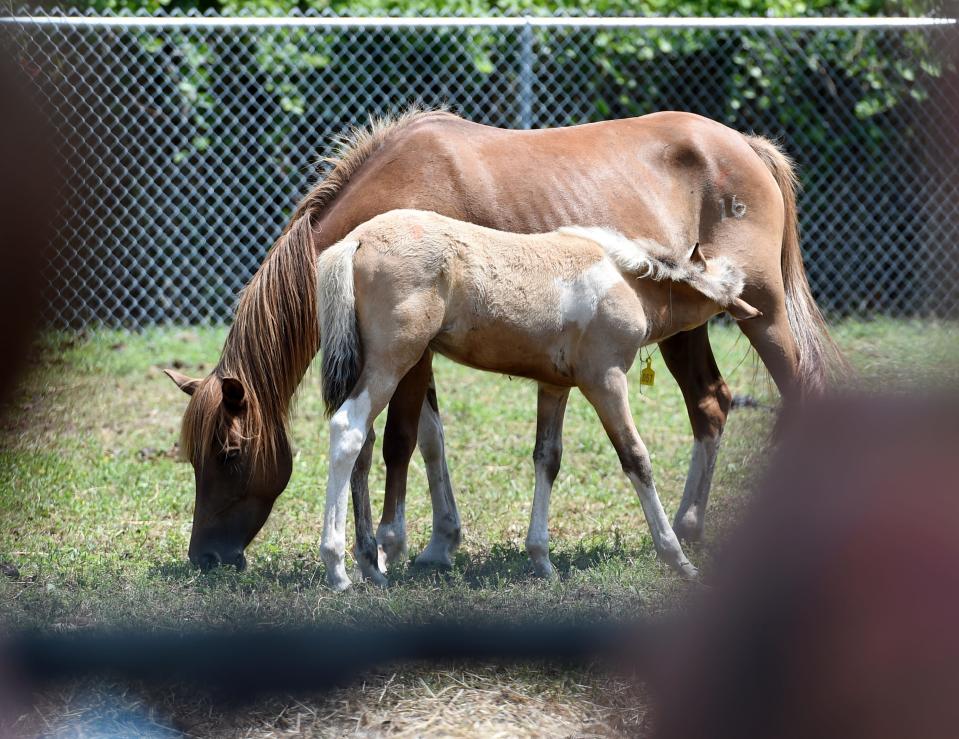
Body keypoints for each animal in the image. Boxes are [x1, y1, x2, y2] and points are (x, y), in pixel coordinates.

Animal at [318, 210, 760, 588]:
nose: (748, 312)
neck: (624, 280)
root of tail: (356, 240)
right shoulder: (605, 380)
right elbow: (636, 458)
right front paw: (677, 558)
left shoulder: (554, 387)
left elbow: (547, 459)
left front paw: (542, 560)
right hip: (394, 361)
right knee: (348, 430)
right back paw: (337, 568)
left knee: (365, 445)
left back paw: (369, 565)